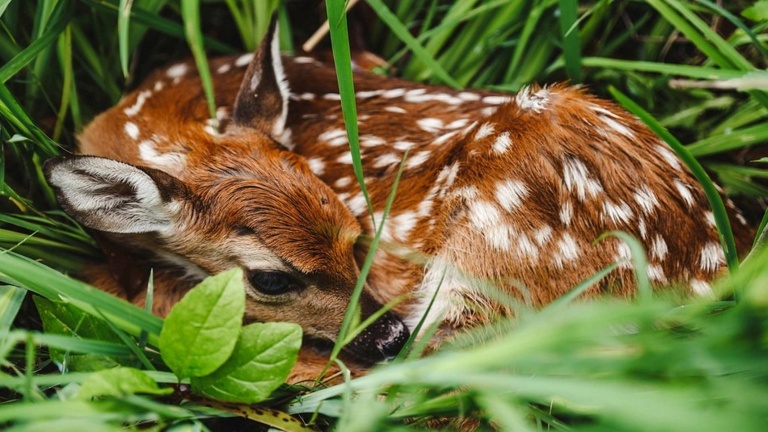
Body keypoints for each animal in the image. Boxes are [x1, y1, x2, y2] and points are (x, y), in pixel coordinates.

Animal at [43, 22, 752, 376]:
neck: (160, 117)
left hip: (493, 259)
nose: (383, 334)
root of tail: (704, 282)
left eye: (355, 234)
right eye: (270, 279)